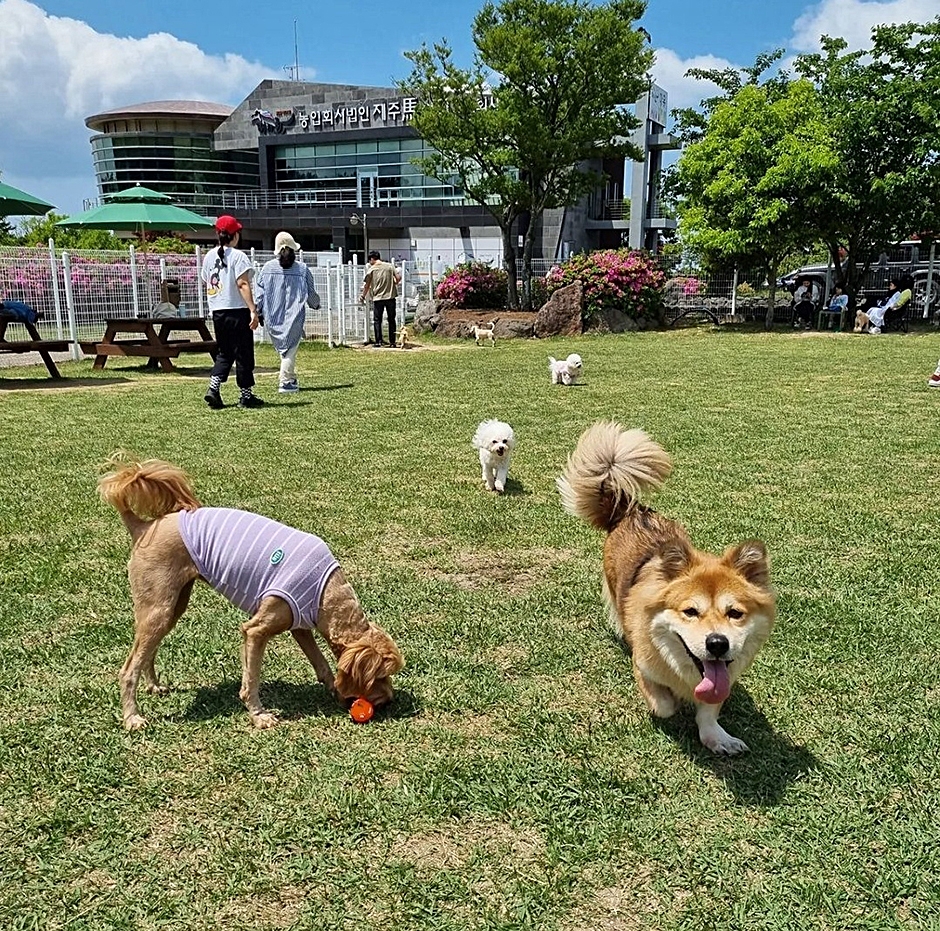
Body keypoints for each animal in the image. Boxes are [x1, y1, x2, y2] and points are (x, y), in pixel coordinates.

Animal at [98, 454, 405, 731]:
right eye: (381, 675)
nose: (390, 700)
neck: (324, 591)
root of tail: (143, 527)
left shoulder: (299, 623)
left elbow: (321, 662)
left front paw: (332, 687)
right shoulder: (256, 630)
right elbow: (251, 678)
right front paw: (259, 715)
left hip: (172, 605)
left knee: (147, 651)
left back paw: (154, 686)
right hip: (158, 607)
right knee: (128, 668)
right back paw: (132, 718)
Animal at [557, 422, 775, 755]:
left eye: (735, 613)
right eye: (690, 611)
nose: (717, 643)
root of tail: (633, 511)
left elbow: (709, 710)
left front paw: (717, 737)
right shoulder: (644, 666)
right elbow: (664, 704)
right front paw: (674, 701)